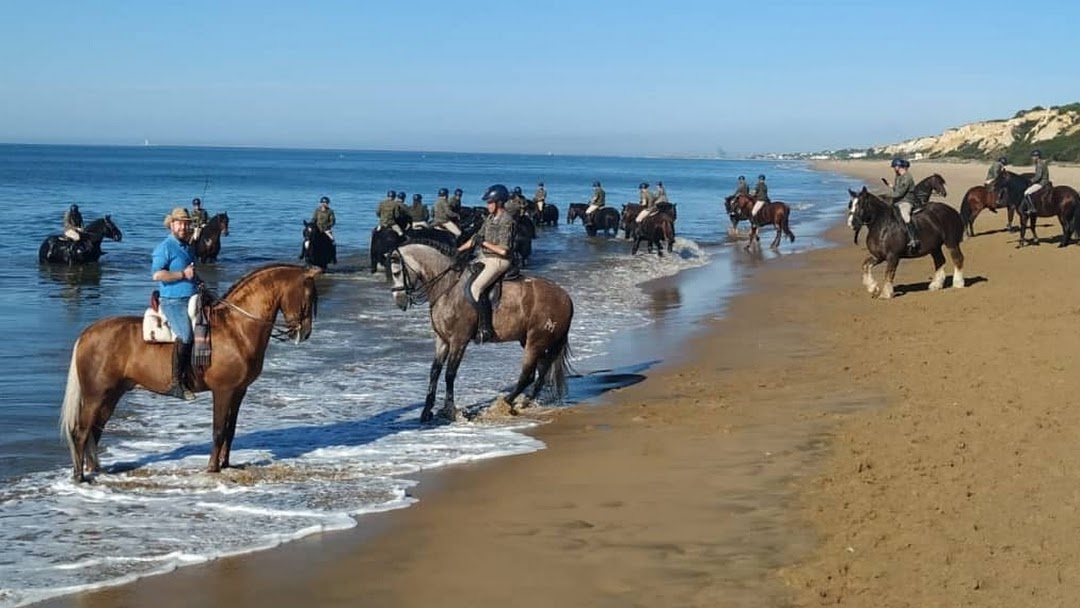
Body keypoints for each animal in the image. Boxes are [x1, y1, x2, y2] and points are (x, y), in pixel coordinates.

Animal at [59, 264, 319, 483]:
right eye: (308, 295)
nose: (305, 332)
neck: (236, 328)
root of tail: (87, 334)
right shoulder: (223, 391)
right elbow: (218, 430)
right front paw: (213, 467)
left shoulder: (239, 391)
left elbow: (231, 430)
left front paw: (226, 464)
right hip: (95, 395)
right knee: (81, 432)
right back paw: (80, 476)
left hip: (111, 395)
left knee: (94, 431)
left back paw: (96, 469)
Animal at [388, 238, 574, 423]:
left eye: (396, 273)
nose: (399, 301)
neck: (447, 287)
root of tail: (565, 297)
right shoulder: (442, 340)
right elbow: (434, 372)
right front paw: (426, 411)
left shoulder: (459, 340)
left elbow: (450, 374)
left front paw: (450, 411)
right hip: (533, 340)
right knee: (541, 373)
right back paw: (523, 402)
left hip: (536, 341)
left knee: (528, 375)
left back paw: (504, 403)